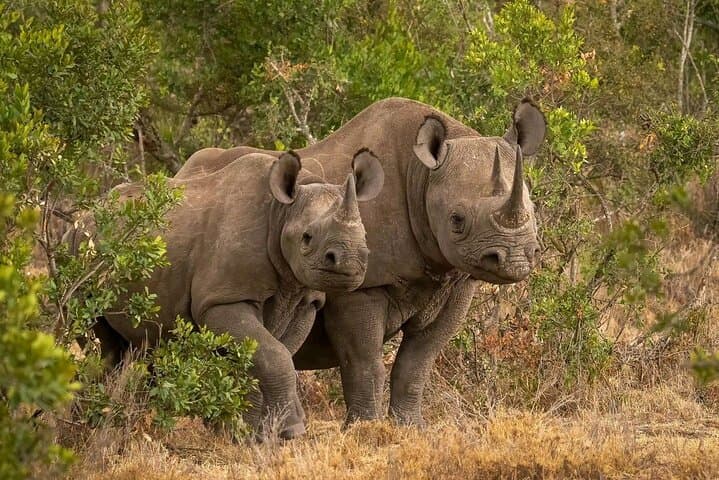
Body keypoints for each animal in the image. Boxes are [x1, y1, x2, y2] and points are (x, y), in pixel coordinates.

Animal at [73, 149, 385, 438]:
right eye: (306, 238)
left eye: (366, 236)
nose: (351, 262)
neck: (281, 213)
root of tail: (84, 216)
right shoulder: (222, 300)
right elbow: (273, 355)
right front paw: (288, 431)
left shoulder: (305, 300)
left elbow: (271, 353)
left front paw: (253, 432)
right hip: (78, 249)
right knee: (103, 346)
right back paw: (91, 422)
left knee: (138, 346)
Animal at [177, 97, 546, 426]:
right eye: (457, 220)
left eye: (533, 209)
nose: (514, 258)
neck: (421, 177)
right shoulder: (360, 286)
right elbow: (364, 363)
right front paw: (364, 429)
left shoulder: (458, 280)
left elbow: (417, 363)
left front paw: (411, 429)